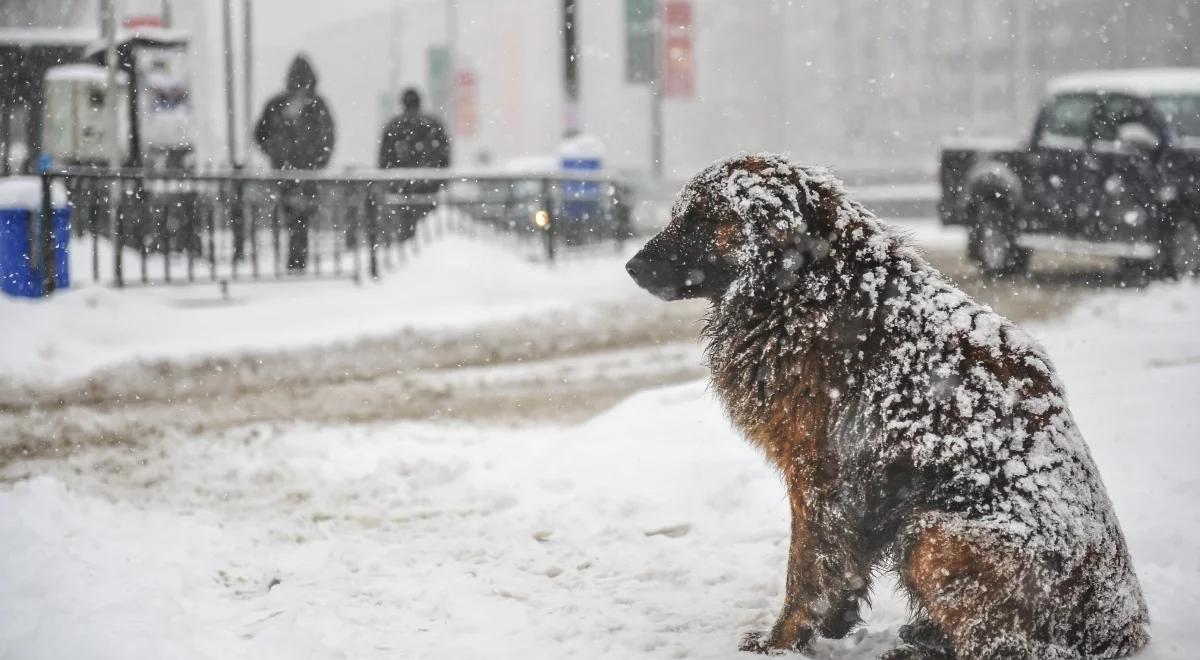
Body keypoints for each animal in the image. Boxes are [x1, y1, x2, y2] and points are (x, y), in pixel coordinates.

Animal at [624, 152, 1147, 657]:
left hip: (934, 535)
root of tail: (1123, 625)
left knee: (1005, 646)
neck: (811, 283)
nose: (631, 266)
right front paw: (831, 625)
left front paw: (782, 642)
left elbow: (807, 569)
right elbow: (843, 567)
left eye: (701, 218)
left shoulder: (820, 474)